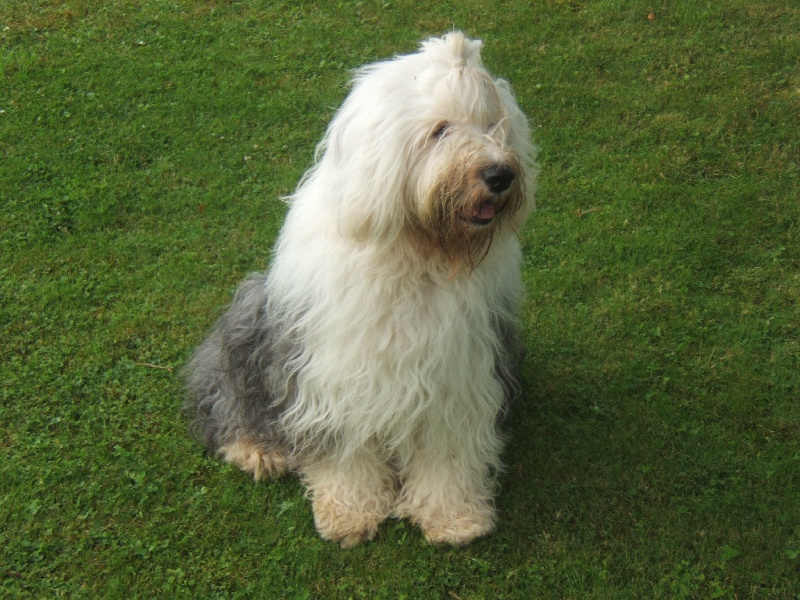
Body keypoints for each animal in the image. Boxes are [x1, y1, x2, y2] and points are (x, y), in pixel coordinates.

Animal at [185, 32, 537, 548]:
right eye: (440, 130)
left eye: (495, 126)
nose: (500, 175)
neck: (419, 253)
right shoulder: (336, 377)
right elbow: (344, 451)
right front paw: (349, 514)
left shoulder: (463, 372)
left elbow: (449, 451)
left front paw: (454, 519)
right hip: (250, 318)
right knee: (225, 393)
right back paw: (256, 449)